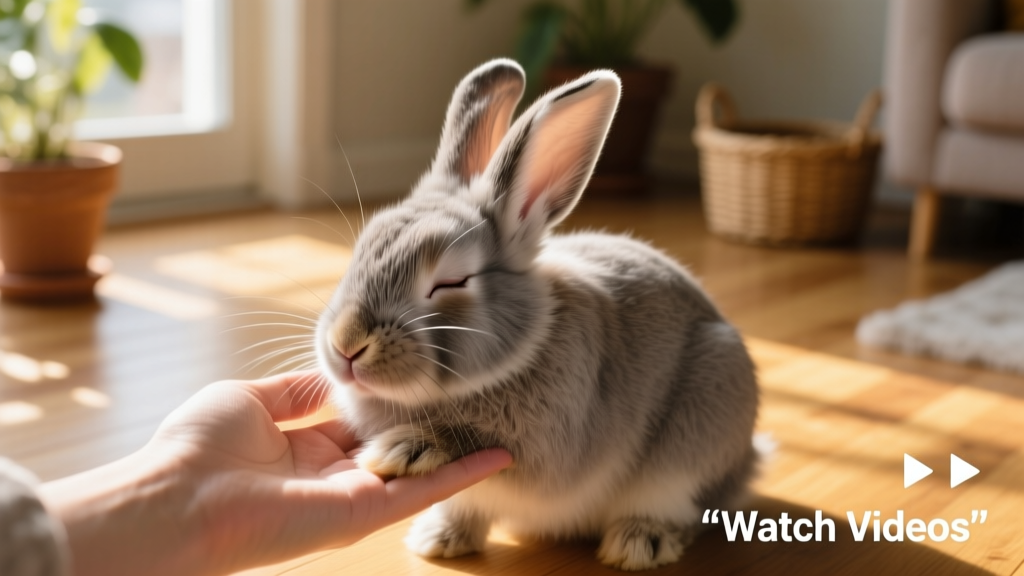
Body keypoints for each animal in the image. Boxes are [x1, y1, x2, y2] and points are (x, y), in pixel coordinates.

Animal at [315, 58, 760, 571]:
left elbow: (472, 437)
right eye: (360, 251)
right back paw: (441, 538)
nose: (347, 344)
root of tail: (749, 462)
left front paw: (403, 448)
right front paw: (434, 538)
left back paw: (637, 543)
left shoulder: (541, 445)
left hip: (699, 429)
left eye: (451, 282)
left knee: (677, 505)